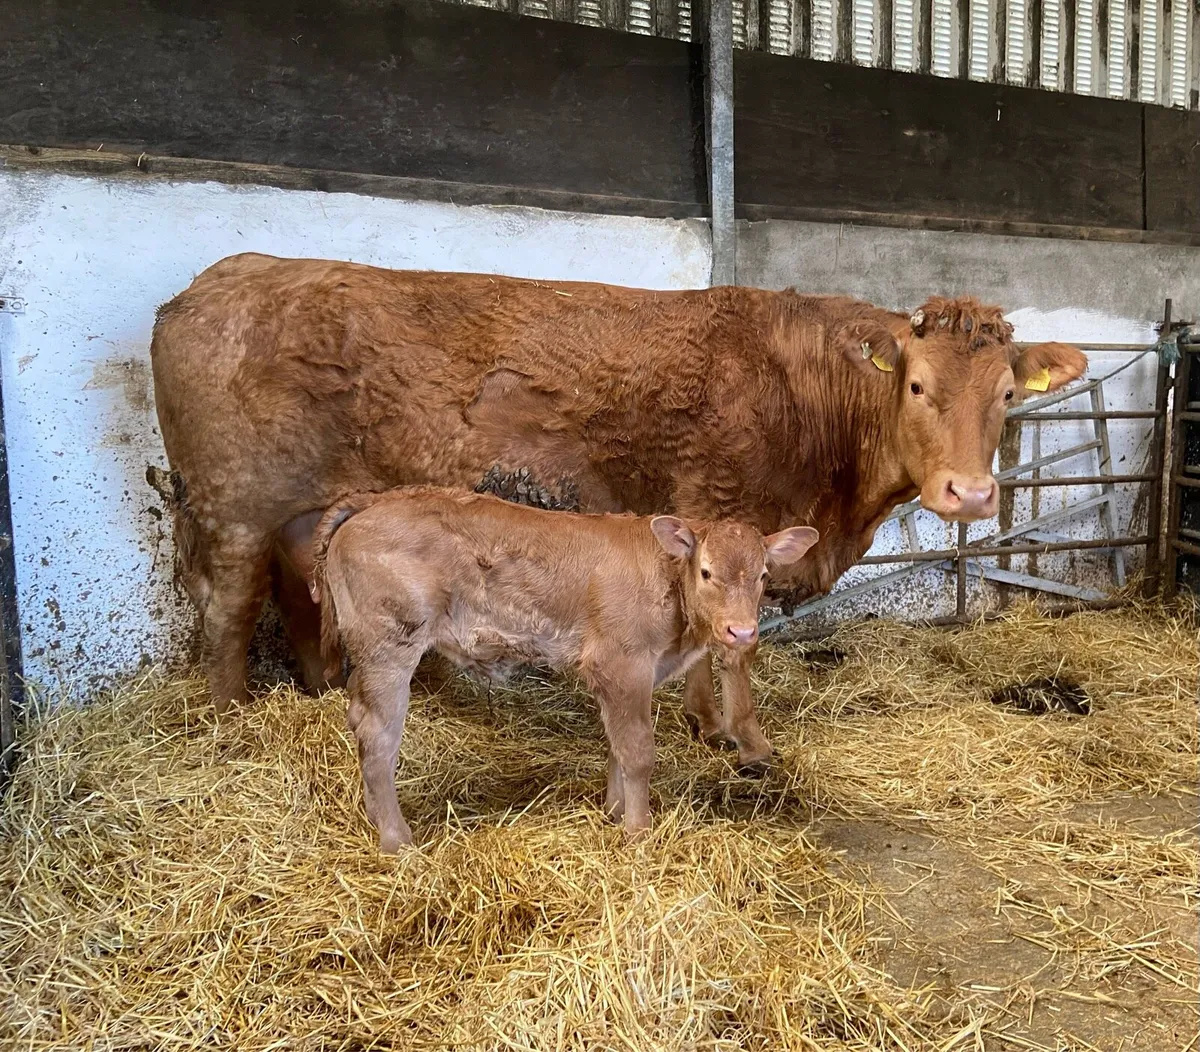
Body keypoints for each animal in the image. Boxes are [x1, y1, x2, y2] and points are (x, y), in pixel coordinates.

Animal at [149, 253, 1088, 770]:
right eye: (919, 385)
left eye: (1008, 394)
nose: (971, 494)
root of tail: (216, 281)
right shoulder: (723, 507)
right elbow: (736, 647)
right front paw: (747, 741)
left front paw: (709, 725)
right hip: (236, 500)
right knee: (232, 603)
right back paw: (230, 720)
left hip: (306, 508)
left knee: (298, 583)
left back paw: (312, 692)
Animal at [310, 485, 819, 850]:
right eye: (707, 572)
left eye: (763, 576)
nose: (741, 631)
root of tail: (374, 501)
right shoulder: (622, 664)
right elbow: (638, 751)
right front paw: (639, 832)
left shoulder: (628, 677)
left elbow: (617, 745)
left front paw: (614, 812)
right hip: (390, 646)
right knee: (378, 736)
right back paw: (397, 840)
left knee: (359, 721)